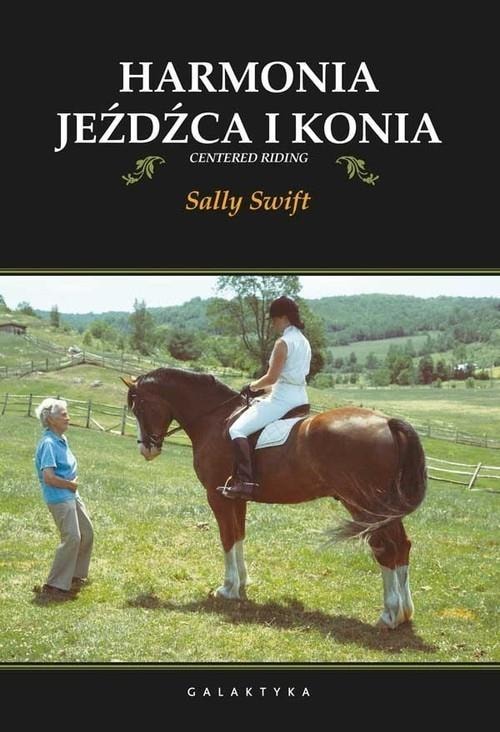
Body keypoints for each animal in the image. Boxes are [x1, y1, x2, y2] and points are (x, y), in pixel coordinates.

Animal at [122, 367, 427, 629]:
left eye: (139, 407)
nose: (146, 449)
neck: (215, 419)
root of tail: (386, 422)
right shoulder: (237, 498)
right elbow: (239, 536)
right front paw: (242, 585)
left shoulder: (217, 496)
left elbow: (227, 537)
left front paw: (227, 588)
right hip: (385, 507)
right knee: (402, 546)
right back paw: (405, 614)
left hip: (363, 506)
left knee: (384, 548)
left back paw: (389, 614)